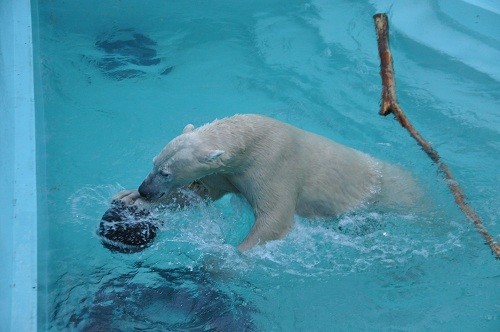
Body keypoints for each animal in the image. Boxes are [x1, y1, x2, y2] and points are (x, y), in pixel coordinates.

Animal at [123, 114, 420, 252]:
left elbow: (275, 217)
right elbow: (204, 192)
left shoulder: (274, 165)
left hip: (398, 195)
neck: (251, 138)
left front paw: (231, 257)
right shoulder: (228, 173)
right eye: (154, 163)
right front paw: (127, 198)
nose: (144, 189)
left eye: (166, 173)